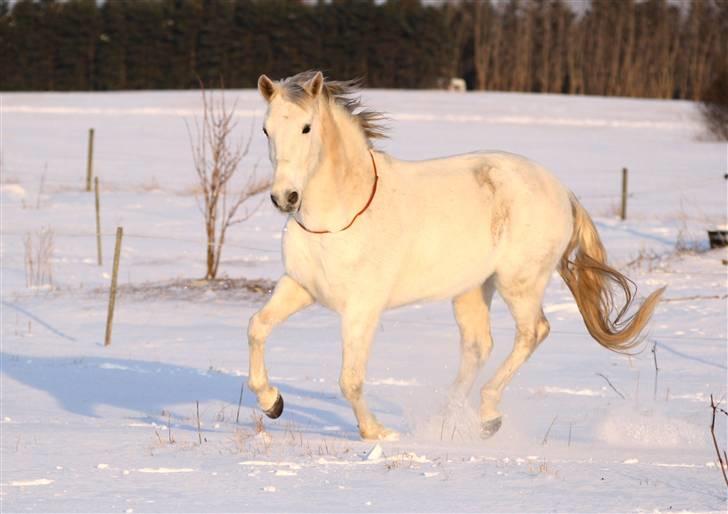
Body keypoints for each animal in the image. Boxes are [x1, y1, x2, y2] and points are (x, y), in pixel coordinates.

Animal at [246, 71, 664, 440]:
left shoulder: (362, 309)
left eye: (306, 128)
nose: (285, 198)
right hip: (472, 289)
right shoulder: (300, 287)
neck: (339, 217)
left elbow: (350, 379)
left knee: (533, 332)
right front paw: (272, 402)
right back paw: (448, 421)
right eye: (266, 130)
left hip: (519, 283)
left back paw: (488, 413)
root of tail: (562, 191)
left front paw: (377, 432)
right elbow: (257, 327)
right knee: (478, 347)